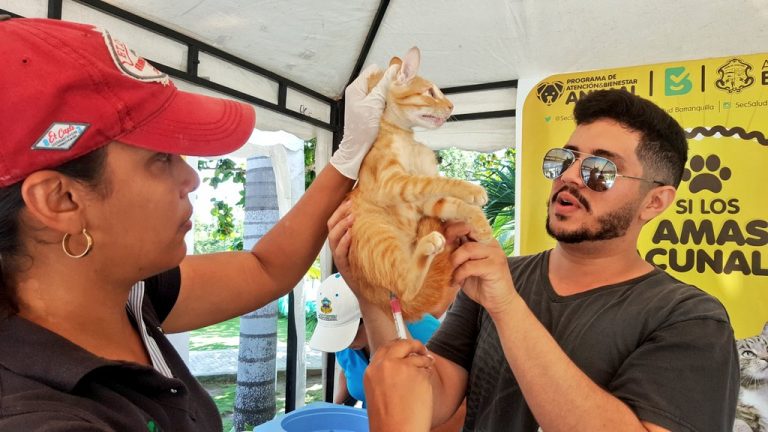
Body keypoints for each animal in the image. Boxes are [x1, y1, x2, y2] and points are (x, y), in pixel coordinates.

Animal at [346, 47, 492, 320]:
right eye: (430, 93)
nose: (452, 105)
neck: (403, 135)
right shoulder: (392, 183)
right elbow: (436, 180)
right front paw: (473, 190)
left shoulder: (427, 202)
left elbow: (453, 203)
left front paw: (480, 223)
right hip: (378, 233)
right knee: (405, 288)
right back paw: (428, 244)